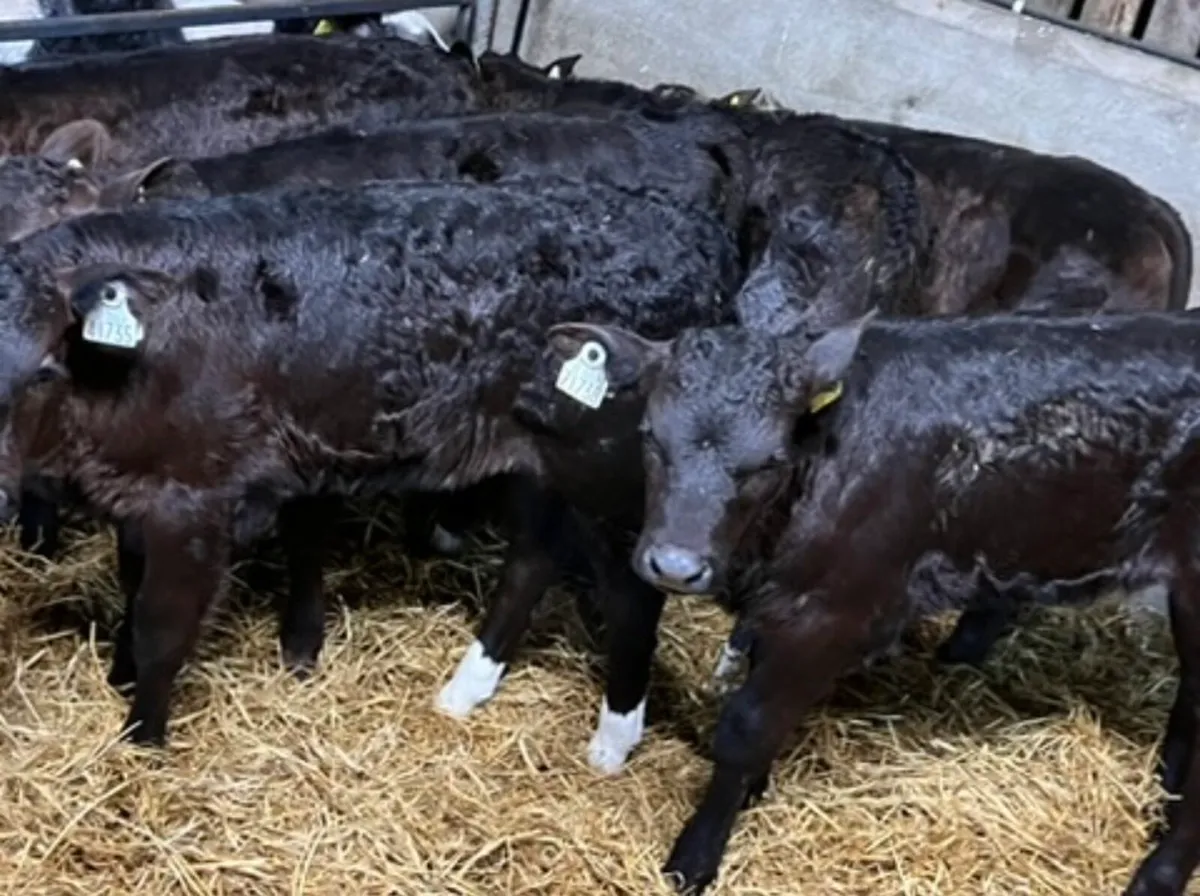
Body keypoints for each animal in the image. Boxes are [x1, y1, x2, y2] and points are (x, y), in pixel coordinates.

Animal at [0, 175, 742, 747]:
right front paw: (117, 675)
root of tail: (691, 228)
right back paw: (467, 689)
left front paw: (141, 740)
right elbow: (133, 591)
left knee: (634, 592)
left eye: (42, 371)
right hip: (537, 463)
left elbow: (162, 626)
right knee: (533, 558)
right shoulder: (137, 494)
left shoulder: (196, 500)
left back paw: (614, 738)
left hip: (615, 478)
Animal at [569, 310, 1200, 895]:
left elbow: (746, 725)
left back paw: (1156, 875)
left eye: (770, 459)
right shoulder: (784, 608)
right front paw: (753, 791)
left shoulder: (832, 613)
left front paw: (693, 859)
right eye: (650, 435)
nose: (674, 565)